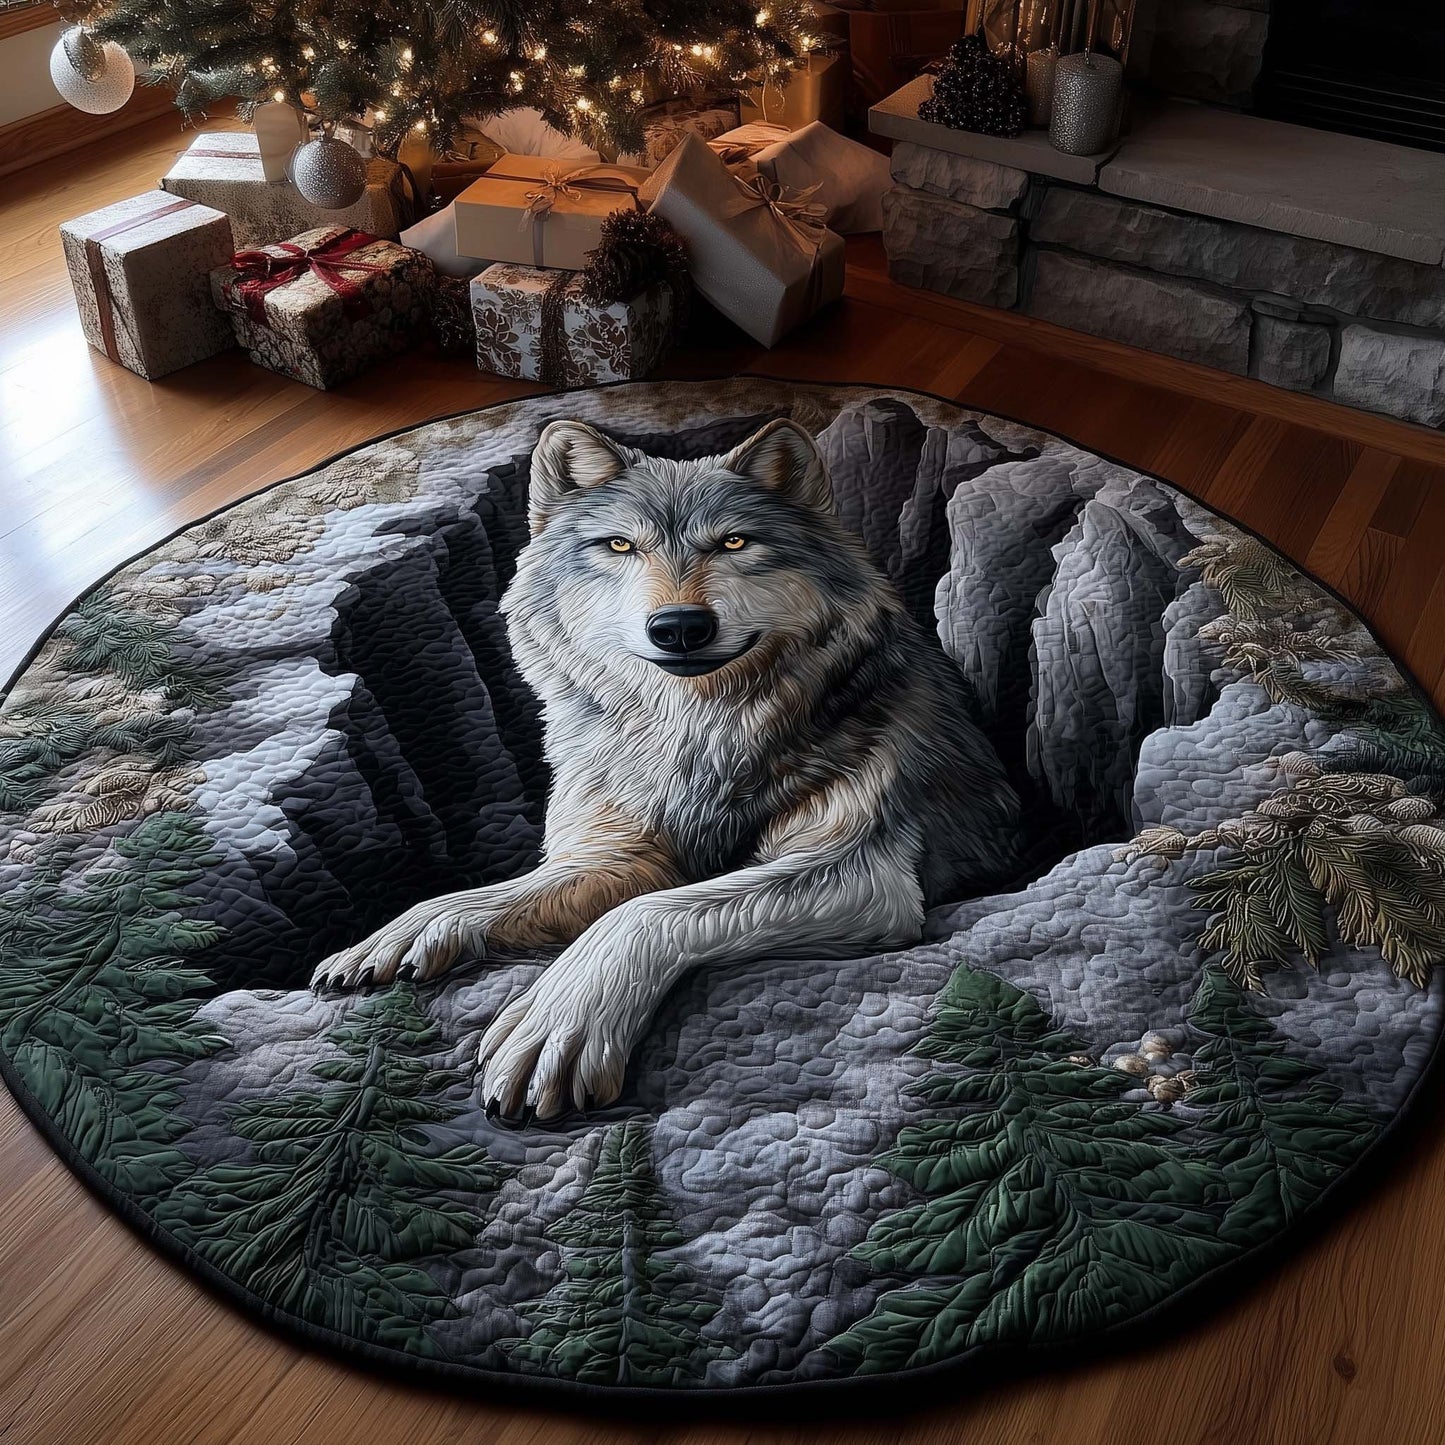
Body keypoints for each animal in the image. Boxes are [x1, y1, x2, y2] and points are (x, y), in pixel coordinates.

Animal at [312, 415, 1020, 1119]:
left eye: (733, 542)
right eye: (620, 545)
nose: (679, 626)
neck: (699, 736)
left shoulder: (862, 872)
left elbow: (645, 914)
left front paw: (555, 1022)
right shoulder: (619, 857)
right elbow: (495, 895)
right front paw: (401, 933)